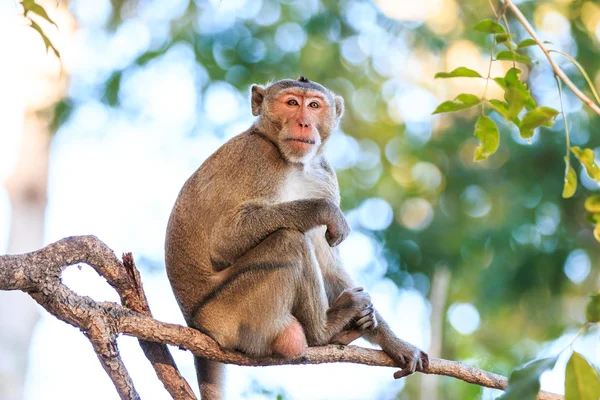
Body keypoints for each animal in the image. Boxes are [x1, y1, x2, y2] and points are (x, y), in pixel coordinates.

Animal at [164, 76, 426, 400]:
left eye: (313, 105)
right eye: (291, 103)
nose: (303, 122)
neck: (292, 163)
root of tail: (198, 325)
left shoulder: (323, 175)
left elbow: (330, 266)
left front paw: (394, 342)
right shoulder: (259, 159)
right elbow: (224, 241)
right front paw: (324, 211)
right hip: (229, 312)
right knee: (288, 241)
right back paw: (324, 331)